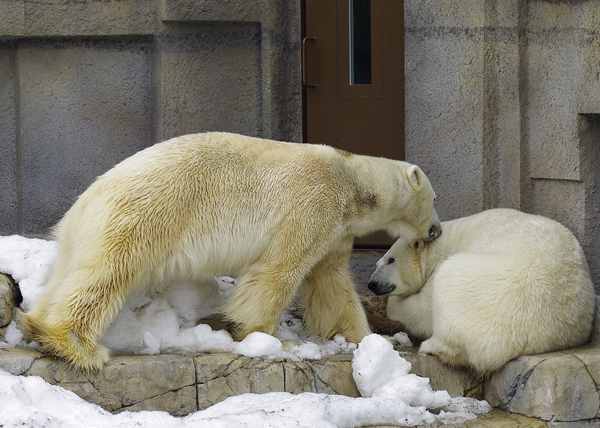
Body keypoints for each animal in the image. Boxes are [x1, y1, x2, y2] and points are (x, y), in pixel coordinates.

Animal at [24, 132, 440, 370]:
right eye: (435, 198)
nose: (436, 230)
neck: (351, 180)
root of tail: (86, 199)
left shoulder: (338, 230)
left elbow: (331, 281)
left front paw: (368, 338)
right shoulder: (313, 204)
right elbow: (279, 269)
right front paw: (267, 338)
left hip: (87, 234)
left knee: (72, 273)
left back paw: (42, 326)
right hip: (147, 215)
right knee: (110, 272)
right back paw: (76, 346)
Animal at [370, 208, 596, 374]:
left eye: (391, 259)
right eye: (378, 261)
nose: (372, 284)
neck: (442, 242)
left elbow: (421, 310)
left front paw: (393, 305)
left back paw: (430, 346)